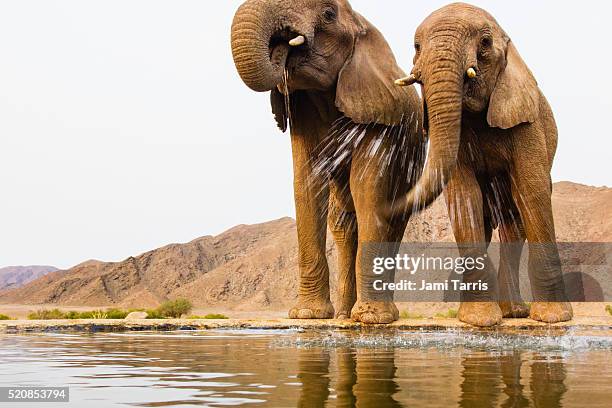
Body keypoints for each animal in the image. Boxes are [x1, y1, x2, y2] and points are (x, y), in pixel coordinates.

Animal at [230, 0, 426, 326]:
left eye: (328, 15)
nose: (283, 48)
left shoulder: (378, 110)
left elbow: (367, 185)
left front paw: (372, 319)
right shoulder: (303, 108)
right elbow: (307, 182)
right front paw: (308, 315)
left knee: (391, 221)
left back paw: (372, 315)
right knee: (344, 225)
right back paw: (344, 316)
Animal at [392, 3, 572, 326]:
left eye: (485, 43)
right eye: (416, 47)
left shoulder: (527, 122)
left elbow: (533, 192)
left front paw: (554, 319)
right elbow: (464, 197)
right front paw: (479, 321)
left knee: (516, 223)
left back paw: (515, 313)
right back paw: (506, 313)